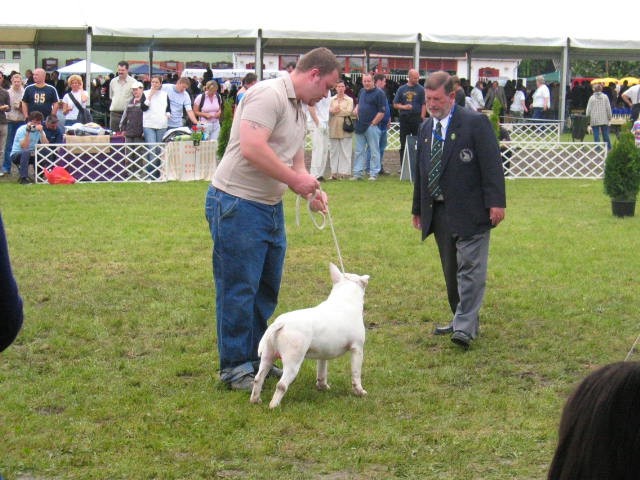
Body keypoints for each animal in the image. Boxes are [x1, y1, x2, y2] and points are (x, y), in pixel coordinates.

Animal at [250, 262, 370, 408]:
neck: (344, 299)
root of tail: (281, 323)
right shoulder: (357, 349)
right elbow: (356, 373)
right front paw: (360, 392)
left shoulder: (323, 353)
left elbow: (322, 370)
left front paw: (322, 387)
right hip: (293, 360)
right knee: (281, 385)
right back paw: (274, 405)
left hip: (268, 355)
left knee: (258, 378)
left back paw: (255, 400)